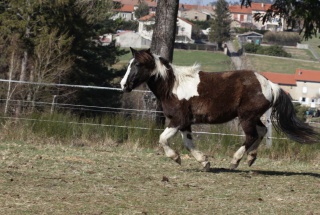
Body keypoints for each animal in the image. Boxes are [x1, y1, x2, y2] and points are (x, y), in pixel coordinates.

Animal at [120, 47, 320, 170]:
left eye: (136, 64)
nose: (123, 85)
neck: (172, 86)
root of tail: (269, 85)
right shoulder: (185, 123)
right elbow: (188, 143)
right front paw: (204, 162)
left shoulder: (178, 120)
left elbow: (162, 139)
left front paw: (176, 157)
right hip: (252, 116)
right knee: (261, 132)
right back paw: (251, 158)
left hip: (246, 117)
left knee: (252, 136)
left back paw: (235, 161)